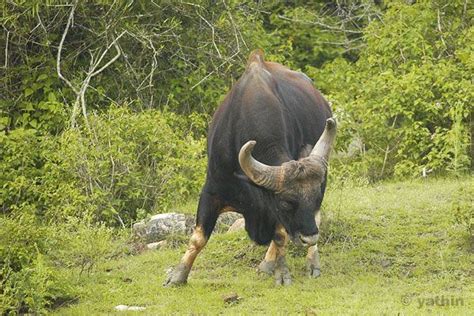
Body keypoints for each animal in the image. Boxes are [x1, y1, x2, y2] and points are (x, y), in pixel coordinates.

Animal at [165, 49, 336, 286]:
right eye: (286, 203)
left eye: (316, 198)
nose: (310, 237)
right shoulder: (212, 190)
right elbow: (199, 237)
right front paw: (178, 275)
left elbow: (280, 235)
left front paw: (282, 273)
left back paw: (307, 262)